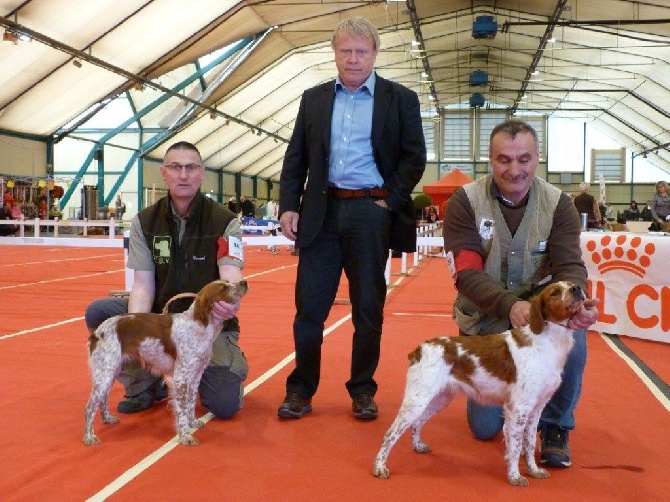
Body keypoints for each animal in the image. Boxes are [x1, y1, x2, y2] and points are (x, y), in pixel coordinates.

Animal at [84, 278, 249, 448]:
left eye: (229, 282)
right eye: (223, 288)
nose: (244, 282)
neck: (198, 325)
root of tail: (97, 332)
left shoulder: (195, 376)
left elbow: (190, 403)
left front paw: (193, 422)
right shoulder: (181, 378)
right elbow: (182, 410)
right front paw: (186, 436)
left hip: (111, 371)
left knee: (103, 399)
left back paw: (107, 418)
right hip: (105, 372)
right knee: (90, 406)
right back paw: (90, 437)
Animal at [376, 280, 584, 484]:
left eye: (571, 284)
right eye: (555, 292)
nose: (578, 288)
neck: (547, 342)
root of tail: (420, 348)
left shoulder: (536, 408)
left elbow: (530, 443)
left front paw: (534, 470)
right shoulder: (518, 408)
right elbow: (516, 446)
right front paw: (515, 476)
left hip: (439, 398)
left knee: (417, 423)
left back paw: (418, 446)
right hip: (417, 400)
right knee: (390, 433)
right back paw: (379, 467)